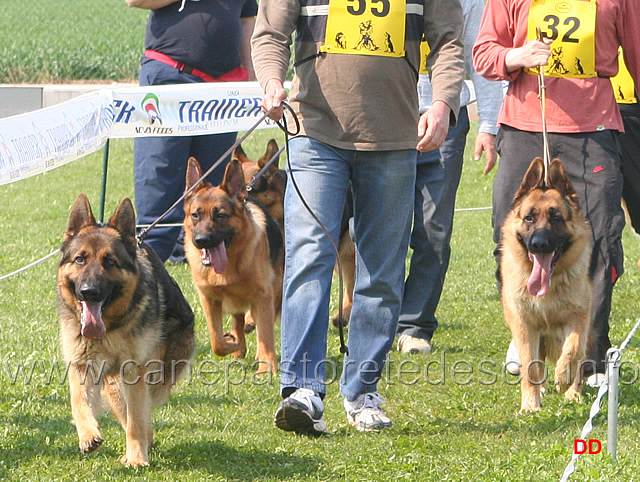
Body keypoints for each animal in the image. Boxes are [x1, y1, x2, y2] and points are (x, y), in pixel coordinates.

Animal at [56, 193, 194, 466]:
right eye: (80, 259)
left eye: (109, 261)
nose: (89, 292)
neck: (109, 329)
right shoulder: (82, 365)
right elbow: (79, 401)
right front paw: (88, 434)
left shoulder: (135, 372)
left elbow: (137, 419)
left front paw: (137, 458)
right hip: (113, 386)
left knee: (141, 413)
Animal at [180, 156, 280, 374]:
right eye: (195, 215)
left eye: (220, 215)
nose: (201, 240)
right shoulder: (209, 300)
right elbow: (217, 342)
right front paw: (233, 342)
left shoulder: (263, 297)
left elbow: (265, 336)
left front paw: (266, 368)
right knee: (238, 319)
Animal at [500, 157, 596, 410]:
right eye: (529, 218)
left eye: (556, 218)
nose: (539, 244)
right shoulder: (524, 326)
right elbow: (531, 366)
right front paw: (530, 404)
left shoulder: (579, 318)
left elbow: (573, 350)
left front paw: (564, 378)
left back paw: (574, 391)